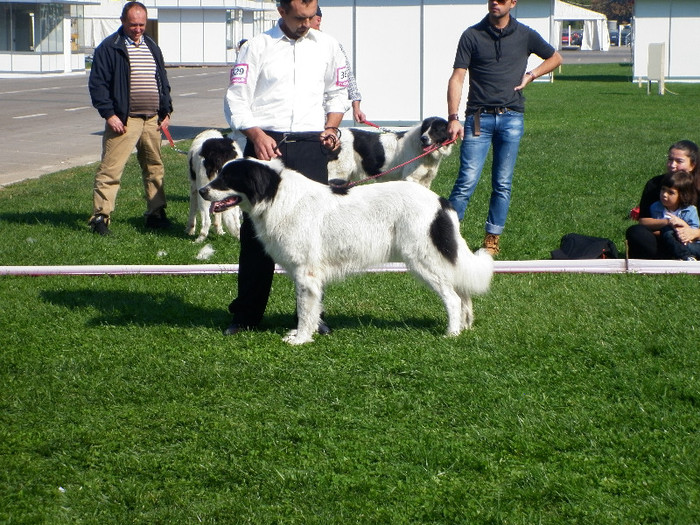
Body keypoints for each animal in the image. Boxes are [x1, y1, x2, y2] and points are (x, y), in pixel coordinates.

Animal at [197, 156, 492, 344]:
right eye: (219, 174)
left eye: (227, 178)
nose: (201, 191)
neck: (275, 196)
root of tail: (440, 202)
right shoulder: (307, 276)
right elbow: (311, 308)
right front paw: (306, 334)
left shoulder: (306, 273)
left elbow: (305, 310)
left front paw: (301, 339)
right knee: (463, 292)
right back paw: (465, 327)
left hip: (423, 260)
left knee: (452, 298)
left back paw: (451, 333)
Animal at [326, 116, 454, 188]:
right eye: (425, 128)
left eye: (436, 130)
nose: (424, 138)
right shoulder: (410, 178)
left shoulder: (426, 181)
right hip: (337, 176)